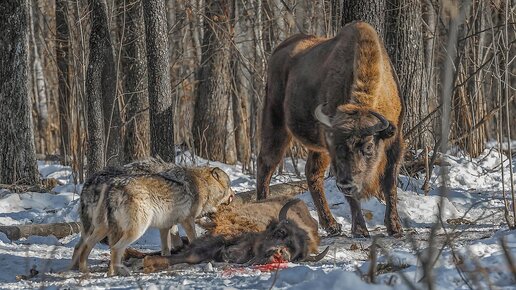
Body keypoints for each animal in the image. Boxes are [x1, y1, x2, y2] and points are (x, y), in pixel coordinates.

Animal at [71, 160, 233, 276]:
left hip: (102, 229)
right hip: (136, 230)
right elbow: (192, 239)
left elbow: (166, 249)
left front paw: (165, 261)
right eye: (230, 184)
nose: (234, 194)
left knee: (83, 246)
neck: (202, 184)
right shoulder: (187, 220)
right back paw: (118, 272)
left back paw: (84, 271)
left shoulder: (165, 226)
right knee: (115, 248)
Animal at [256, 21, 406, 237]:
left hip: (314, 146)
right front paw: (360, 229)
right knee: (266, 163)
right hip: (275, 122)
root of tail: (279, 50)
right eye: (337, 147)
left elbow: (390, 185)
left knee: (311, 173)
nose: (345, 184)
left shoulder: (396, 141)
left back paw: (332, 225)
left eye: (368, 146)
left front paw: (395, 227)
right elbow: (354, 197)